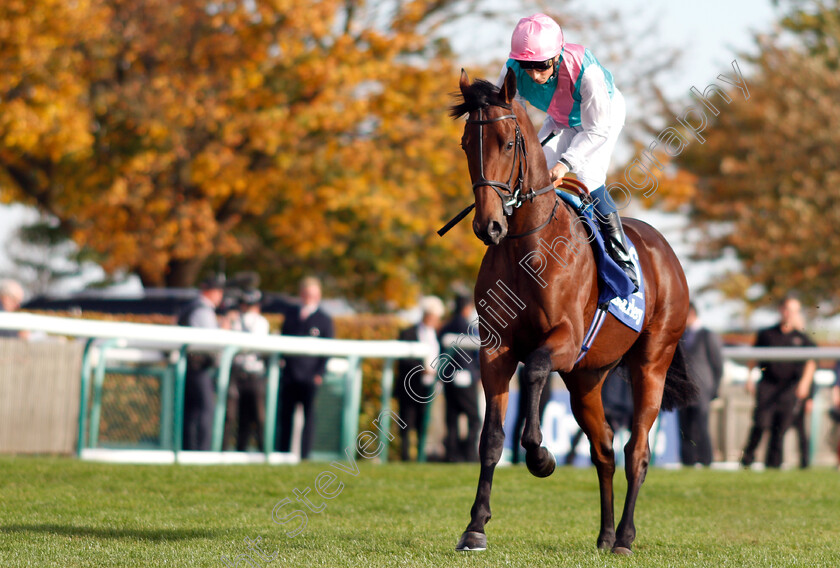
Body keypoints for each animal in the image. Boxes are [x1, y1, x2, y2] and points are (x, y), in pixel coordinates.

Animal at [452, 70, 696, 556]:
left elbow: (534, 371)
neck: (528, 249)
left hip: (651, 363)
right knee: (604, 447)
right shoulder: (496, 349)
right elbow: (491, 438)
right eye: (468, 143)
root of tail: (665, 250)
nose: (489, 226)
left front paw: (541, 456)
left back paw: (624, 537)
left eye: (508, 142)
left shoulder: (563, 340)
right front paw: (475, 527)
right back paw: (604, 535)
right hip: (588, 377)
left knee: (637, 450)